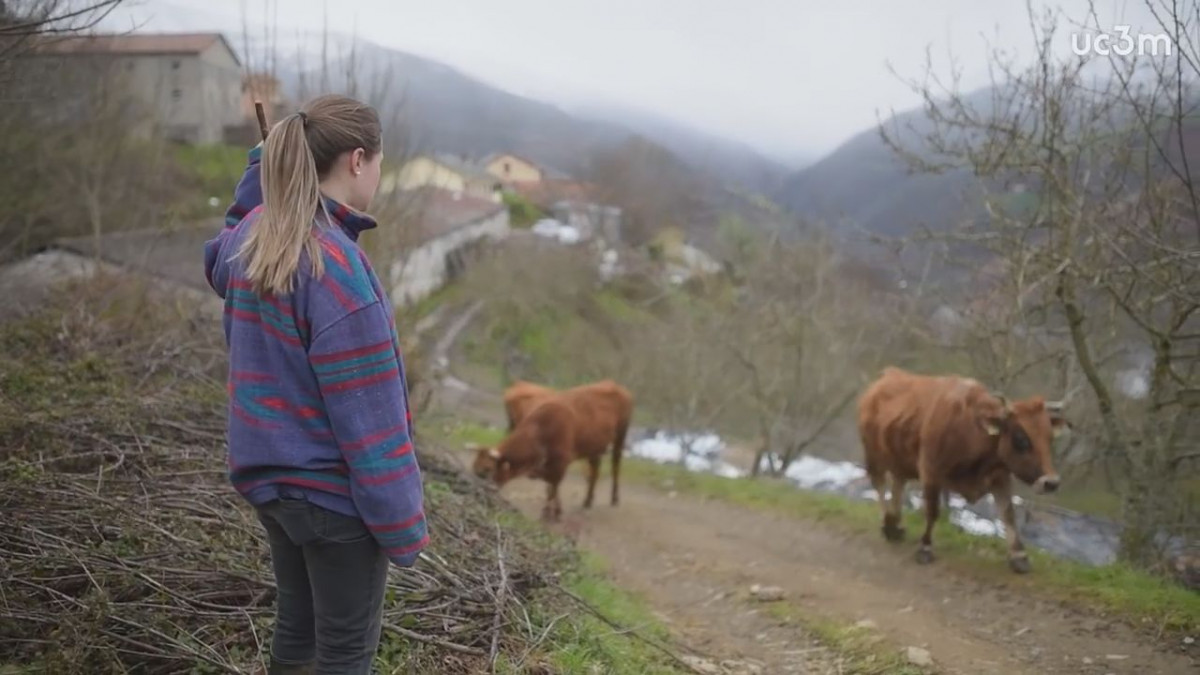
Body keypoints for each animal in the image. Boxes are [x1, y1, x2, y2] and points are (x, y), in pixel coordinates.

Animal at [470, 379, 633, 521]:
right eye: (474, 468)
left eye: (487, 469)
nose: (479, 490)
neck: (541, 430)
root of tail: (612, 383)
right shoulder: (547, 465)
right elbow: (550, 485)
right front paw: (553, 510)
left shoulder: (561, 462)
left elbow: (553, 485)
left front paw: (552, 512)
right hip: (594, 447)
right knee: (595, 470)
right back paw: (587, 501)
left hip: (621, 435)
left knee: (615, 464)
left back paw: (614, 498)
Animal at [854, 365, 1070, 569]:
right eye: (1020, 439)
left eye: (1049, 438)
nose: (1051, 482)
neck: (970, 430)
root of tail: (888, 375)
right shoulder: (930, 470)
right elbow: (932, 511)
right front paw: (925, 548)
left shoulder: (1000, 476)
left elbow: (1008, 513)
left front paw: (1019, 556)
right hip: (872, 454)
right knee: (879, 484)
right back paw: (887, 524)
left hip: (900, 459)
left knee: (898, 484)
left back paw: (895, 526)